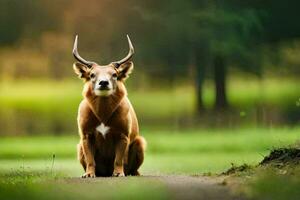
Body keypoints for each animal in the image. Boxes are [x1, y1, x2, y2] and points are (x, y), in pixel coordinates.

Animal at [73, 35, 147, 177]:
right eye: (92, 74)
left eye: (115, 74)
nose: (103, 82)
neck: (103, 115)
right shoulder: (85, 134)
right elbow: (90, 159)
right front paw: (89, 174)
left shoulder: (123, 133)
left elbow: (118, 159)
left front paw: (118, 173)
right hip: (78, 146)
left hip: (140, 142)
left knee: (134, 168)